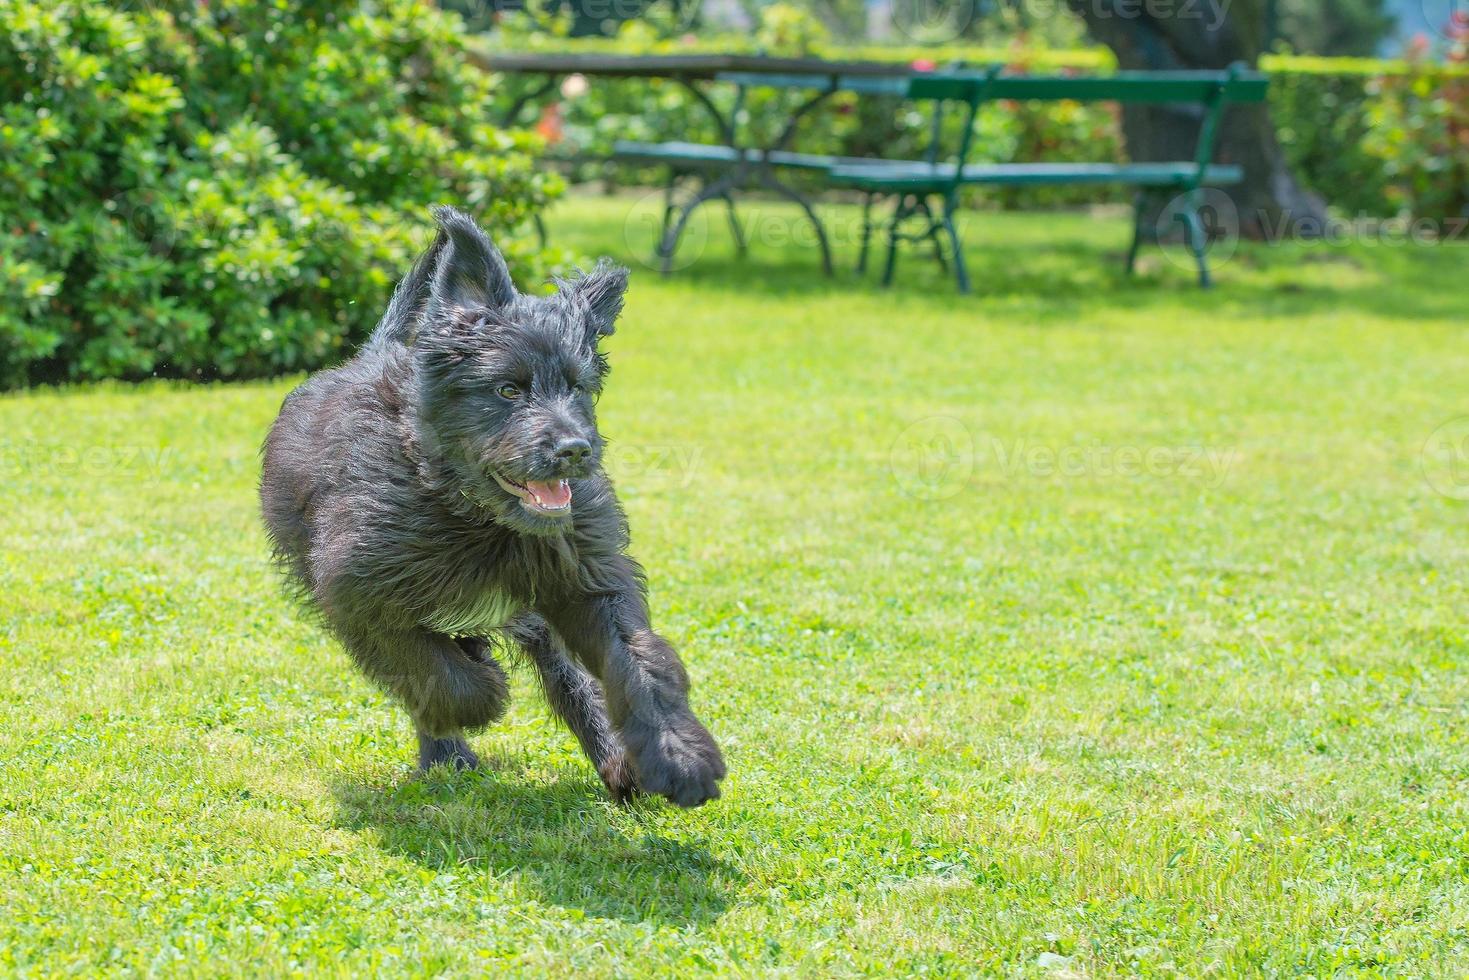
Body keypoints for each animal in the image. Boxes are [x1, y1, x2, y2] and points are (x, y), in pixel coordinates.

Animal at [262, 205, 728, 805]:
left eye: (578, 388)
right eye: (508, 390)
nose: (575, 449)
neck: (472, 515)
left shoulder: (589, 577)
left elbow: (639, 658)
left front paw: (680, 755)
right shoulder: (358, 595)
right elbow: (431, 671)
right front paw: (481, 691)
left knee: (570, 676)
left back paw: (617, 760)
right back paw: (449, 748)